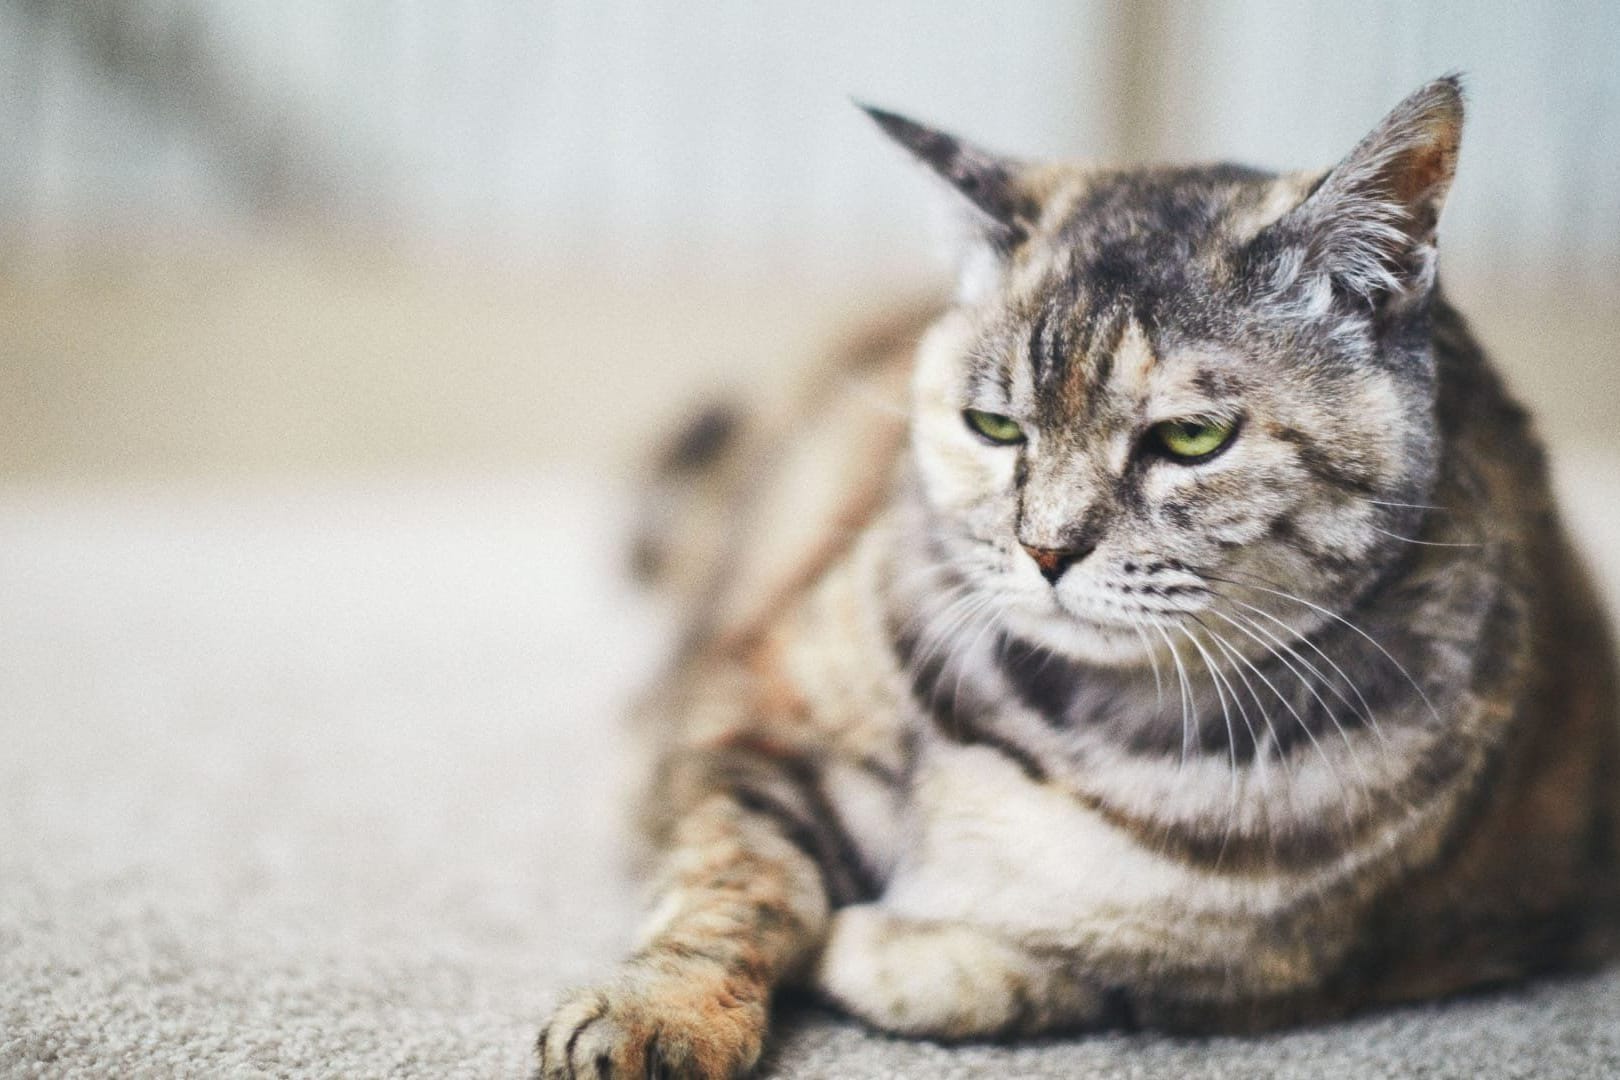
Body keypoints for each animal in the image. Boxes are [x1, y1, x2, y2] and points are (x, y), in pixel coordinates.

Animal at [534, 78, 1620, 1080]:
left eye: (1191, 437)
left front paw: (892, 940)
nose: (1047, 549)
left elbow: (1053, 969)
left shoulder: (1308, 962)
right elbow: (735, 876)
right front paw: (657, 1015)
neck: (1061, 715)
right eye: (993, 426)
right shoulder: (750, 718)